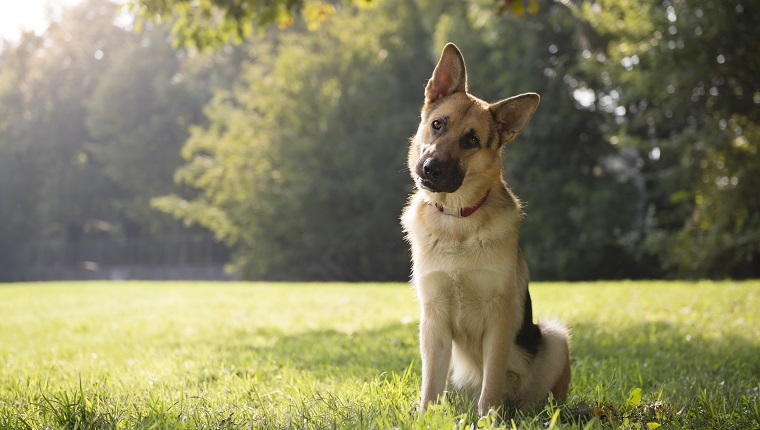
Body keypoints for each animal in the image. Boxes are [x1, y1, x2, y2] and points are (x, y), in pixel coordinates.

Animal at [400, 42, 572, 414]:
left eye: (471, 141)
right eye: (438, 125)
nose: (430, 169)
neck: (458, 220)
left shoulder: (500, 318)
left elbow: (491, 379)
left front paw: (489, 416)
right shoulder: (433, 319)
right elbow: (430, 383)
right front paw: (425, 416)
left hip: (554, 337)